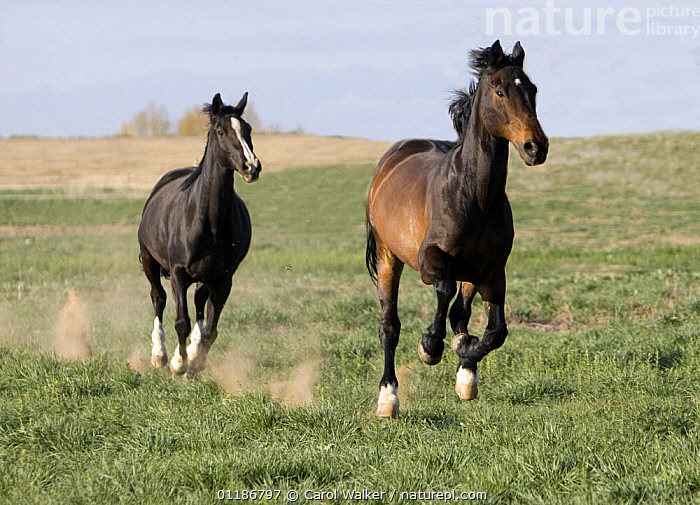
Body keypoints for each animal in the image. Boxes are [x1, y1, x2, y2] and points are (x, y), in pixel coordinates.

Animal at [138, 92, 261, 379]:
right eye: (221, 131)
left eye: (248, 129)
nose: (251, 167)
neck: (209, 221)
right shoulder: (179, 272)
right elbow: (181, 321)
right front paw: (178, 363)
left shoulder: (224, 279)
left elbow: (210, 330)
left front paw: (195, 363)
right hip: (149, 260)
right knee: (158, 298)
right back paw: (159, 355)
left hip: (207, 276)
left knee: (199, 301)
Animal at [365, 40, 548, 417]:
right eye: (500, 91)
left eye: (533, 89)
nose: (536, 147)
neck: (474, 196)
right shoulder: (430, 260)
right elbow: (443, 291)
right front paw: (430, 346)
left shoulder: (492, 271)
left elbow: (495, 331)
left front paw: (465, 353)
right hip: (390, 257)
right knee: (390, 325)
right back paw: (388, 399)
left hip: (470, 271)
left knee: (460, 314)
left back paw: (465, 370)